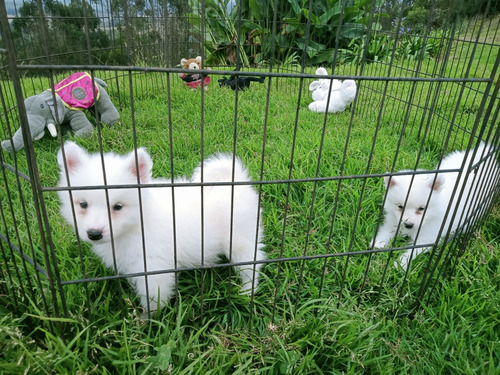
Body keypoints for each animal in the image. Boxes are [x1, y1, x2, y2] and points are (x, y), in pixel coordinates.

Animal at [57, 142, 268, 312]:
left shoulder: (153, 267)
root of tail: (237, 181)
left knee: (252, 264)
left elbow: (153, 298)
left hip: (240, 239)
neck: (138, 223)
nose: (94, 233)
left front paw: (148, 321)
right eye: (83, 204)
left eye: (117, 206)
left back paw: (247, 291)